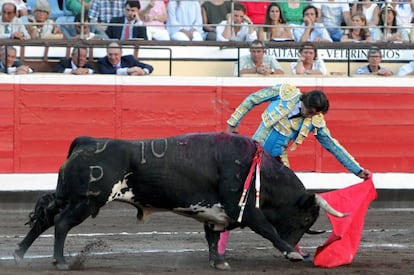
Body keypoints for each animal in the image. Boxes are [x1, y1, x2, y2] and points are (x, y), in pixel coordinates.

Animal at [13, 133, 346, 270]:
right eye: (306, 219)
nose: (302, 248)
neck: (259, 170)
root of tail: (87, 141)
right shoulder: (245, 210)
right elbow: (268, 230)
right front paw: (291, 254)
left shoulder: (215, 214)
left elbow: (212, 238)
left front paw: (219, 262)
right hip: (86, 202)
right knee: (61, 224)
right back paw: (60, 261)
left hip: (68, 196)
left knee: (46, 218)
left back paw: (18, 254)